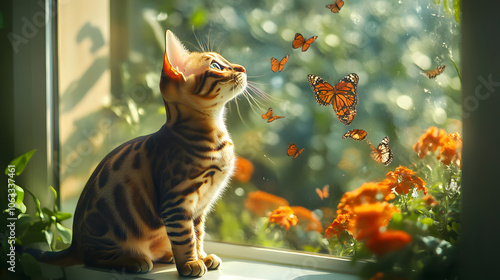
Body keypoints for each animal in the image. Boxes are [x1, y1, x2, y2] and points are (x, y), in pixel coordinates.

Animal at [28, 29, 247, 276]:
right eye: (216, 66)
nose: (242, 68)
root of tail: (75, 243)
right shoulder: (176, 202)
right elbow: (185, 237)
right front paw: (190, 263)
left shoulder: (199, 209)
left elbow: (198, 235)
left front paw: (201, 256)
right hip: (107, 235)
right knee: (92, 259)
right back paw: (133, 260)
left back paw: (166, 255)